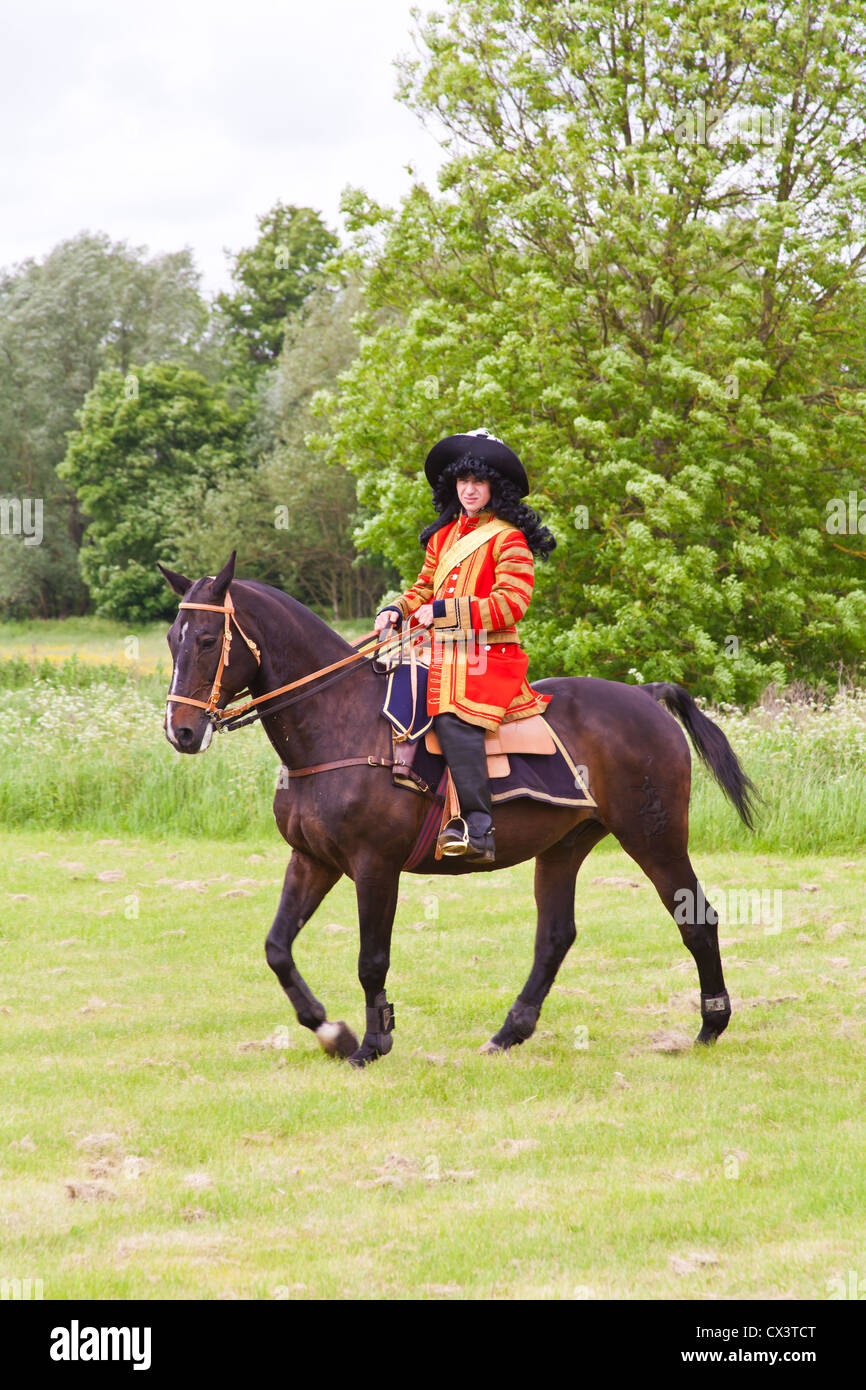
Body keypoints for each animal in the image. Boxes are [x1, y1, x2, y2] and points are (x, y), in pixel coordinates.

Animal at [159, 550, 756, 1061]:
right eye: (171, 639)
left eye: (208, 639)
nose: (181, 732)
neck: (338, 723)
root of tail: (644, 696)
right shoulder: (313, 861)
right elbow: (277, 949)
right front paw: (332, 1032)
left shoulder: (375, 867)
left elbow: (371, 960)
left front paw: (372, 1043)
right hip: (564, 846)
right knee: (555, 937)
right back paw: (509, 1033)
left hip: (654, 837)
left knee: (696, 919)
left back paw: (711, 1024)